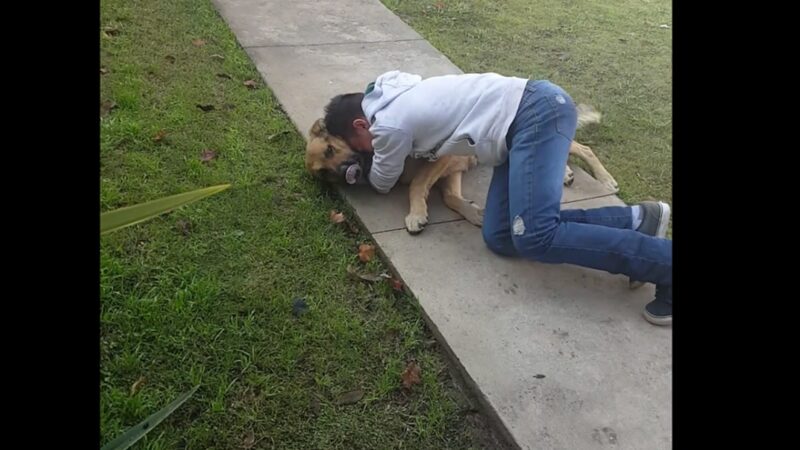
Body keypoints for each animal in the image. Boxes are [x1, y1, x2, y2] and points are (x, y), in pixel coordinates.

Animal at [304, 103, 616, 234]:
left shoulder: (446, 155)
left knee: (582, 148)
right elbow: (450, 197)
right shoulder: (452, 170)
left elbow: (418, 184)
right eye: (324, 173)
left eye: (331, 149)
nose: (347, 173)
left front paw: (416, 214)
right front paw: (473, 212)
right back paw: (565, 173)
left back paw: (605, 178)